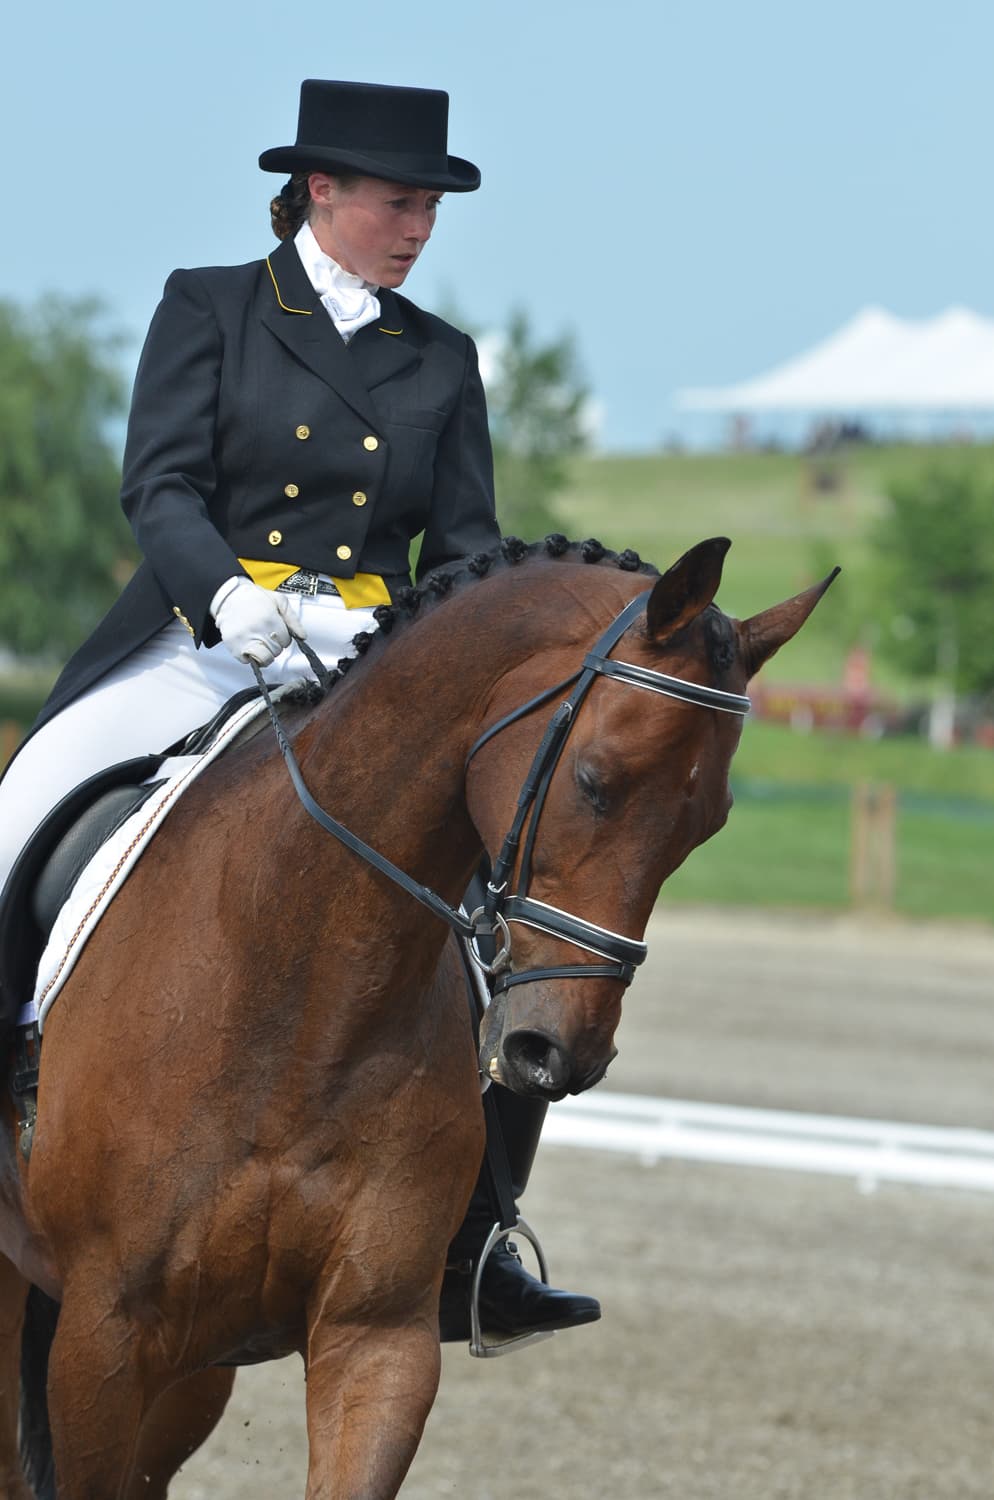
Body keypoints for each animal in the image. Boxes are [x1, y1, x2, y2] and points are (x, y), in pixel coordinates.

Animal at [0, 534, 834, 1498]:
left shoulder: (376, 1338)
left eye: (711, 822)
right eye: (595, 782)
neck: (302, 989)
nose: (560, 1052)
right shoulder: (105, 1337)